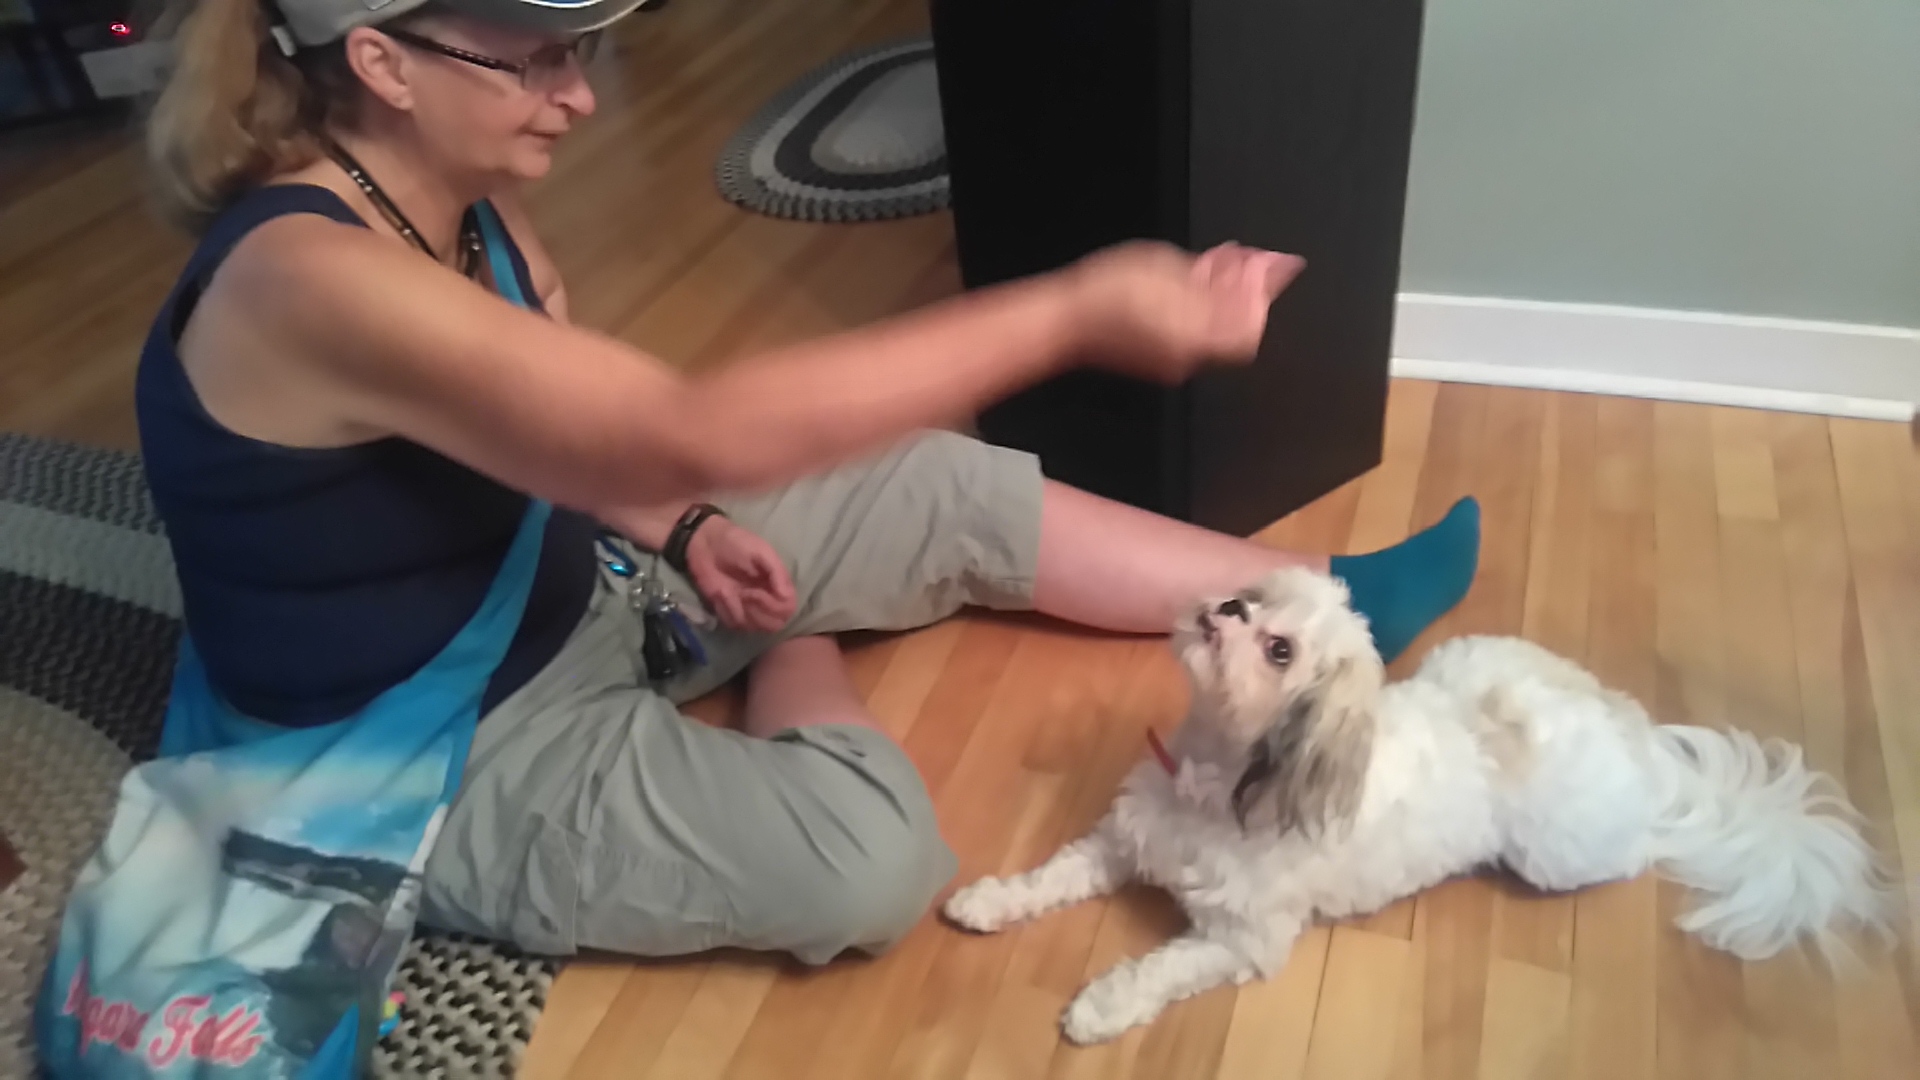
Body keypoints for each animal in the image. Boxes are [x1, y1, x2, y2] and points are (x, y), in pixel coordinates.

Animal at [942, 567, 1890, 1045]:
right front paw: (987, 901)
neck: (1218, 778)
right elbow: (1047, 877)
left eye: (1278, 650)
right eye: (1256, 594)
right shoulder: (1119, 841)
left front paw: (1098, 1010)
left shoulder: (1240, 941)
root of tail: (1641, 745)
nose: (1229, 606)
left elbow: (1155, 970)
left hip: (1561, 854)